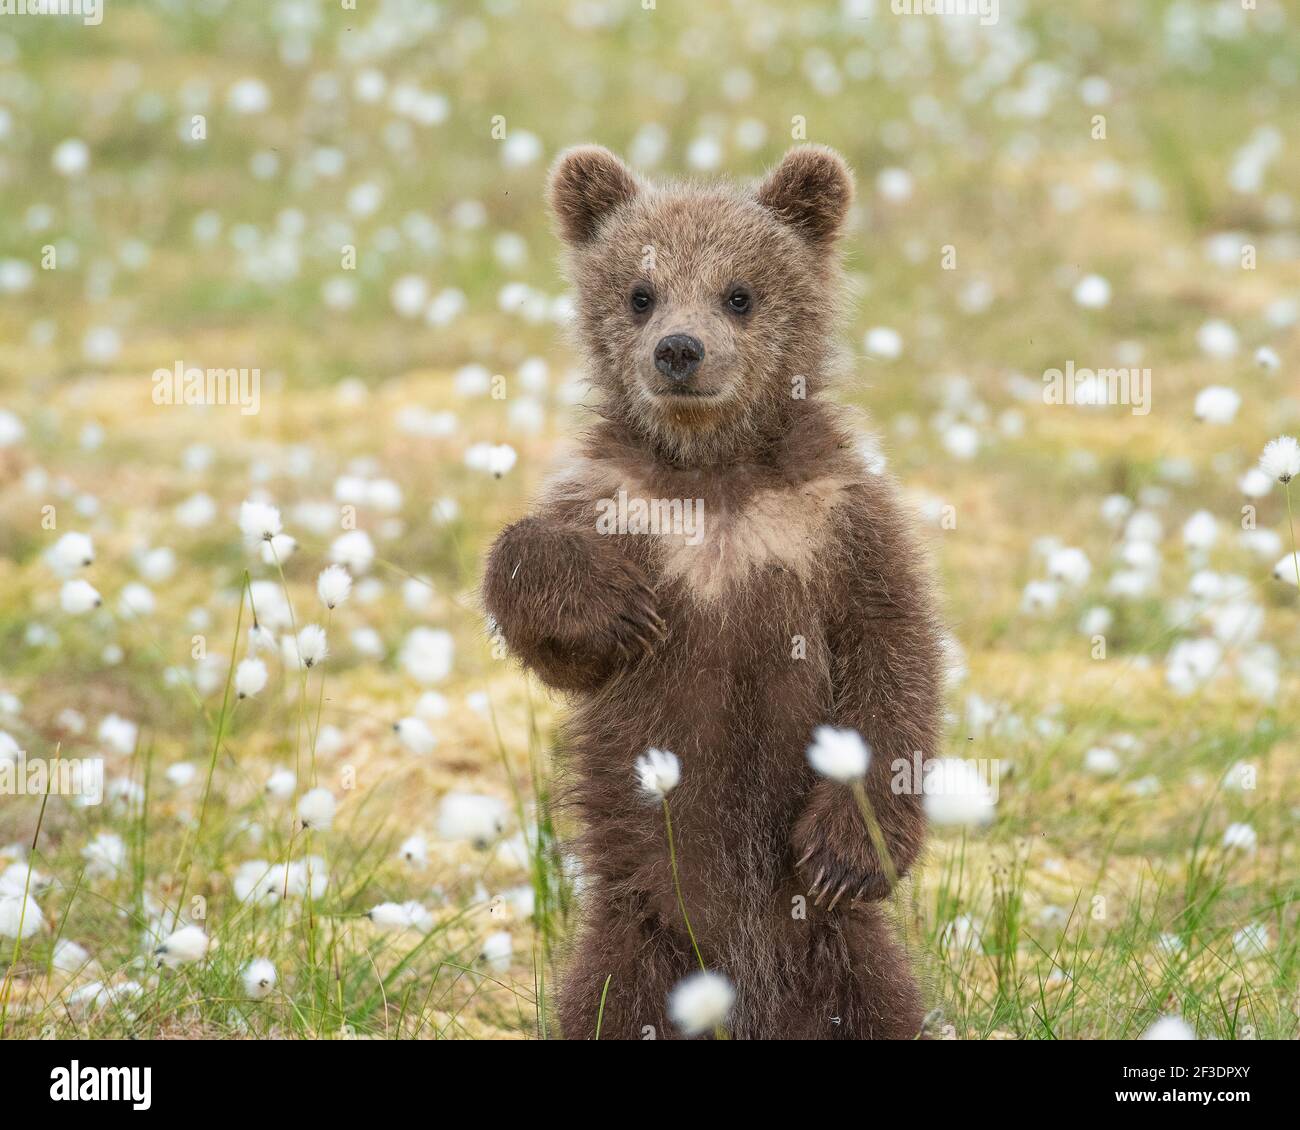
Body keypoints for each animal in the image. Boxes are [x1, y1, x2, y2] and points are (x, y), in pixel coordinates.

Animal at [482, 144, 943, 1040]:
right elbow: (539, 603)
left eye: (740, 293)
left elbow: (893, 652)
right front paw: (617, 606)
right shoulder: (617, 501)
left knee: (880, 1004)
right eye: (640, 291)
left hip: (844, 956)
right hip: (638, 931)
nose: (680, 350)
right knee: (606, 1002)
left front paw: (845, 852)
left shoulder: (836, 519)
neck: (717, 471)